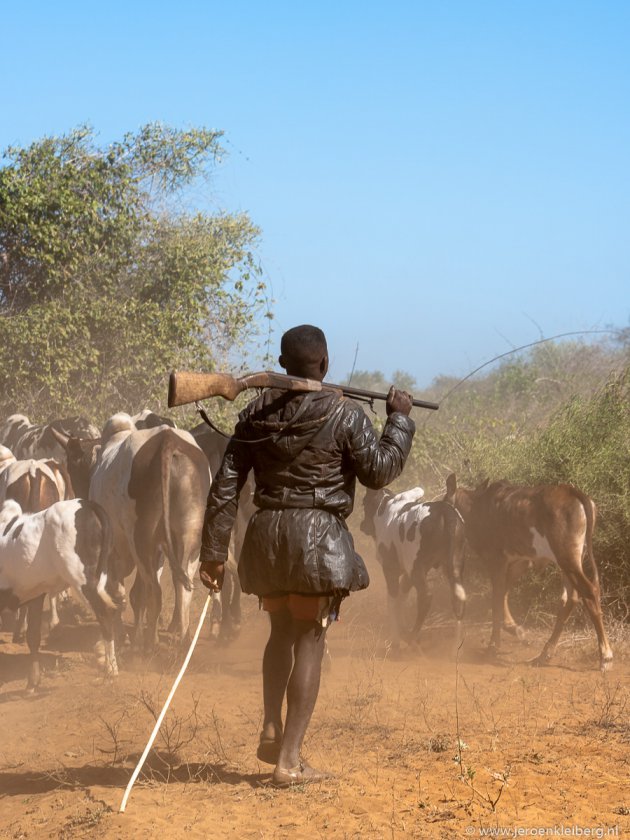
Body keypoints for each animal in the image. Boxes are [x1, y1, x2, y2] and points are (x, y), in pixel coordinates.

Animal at [0, 498, 125, 688]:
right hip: (108, 577)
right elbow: (33, 636)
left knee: (105, 613)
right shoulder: (35, 594)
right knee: (118, 603)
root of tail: (85, 503)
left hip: (83, 581)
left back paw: (110, 670)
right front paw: (33, 682)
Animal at [362, 486, 466, 648]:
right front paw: (401, 628)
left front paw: (396, 639)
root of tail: (446, 512)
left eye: (364, 503)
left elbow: (393, 601)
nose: (363, 525)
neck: (385, 509)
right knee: (458, 599)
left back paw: (411, 636)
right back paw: (455, 647)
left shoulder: (390, 569)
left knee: (426, 597)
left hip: (417, 569)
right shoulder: (408, 573)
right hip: (453, 566)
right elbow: (401, 597)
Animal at [444, 476, 616, 672]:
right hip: (569, 562)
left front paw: (493, 647)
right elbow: (503, 593)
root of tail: (572, 491)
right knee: (570, 599)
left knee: (588, 592)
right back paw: (544, 654)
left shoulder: (496, 560)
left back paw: (605, 656)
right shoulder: (521, 562)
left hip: (568, 559)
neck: (476, 508)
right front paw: (514, 628)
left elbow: (496, 600)